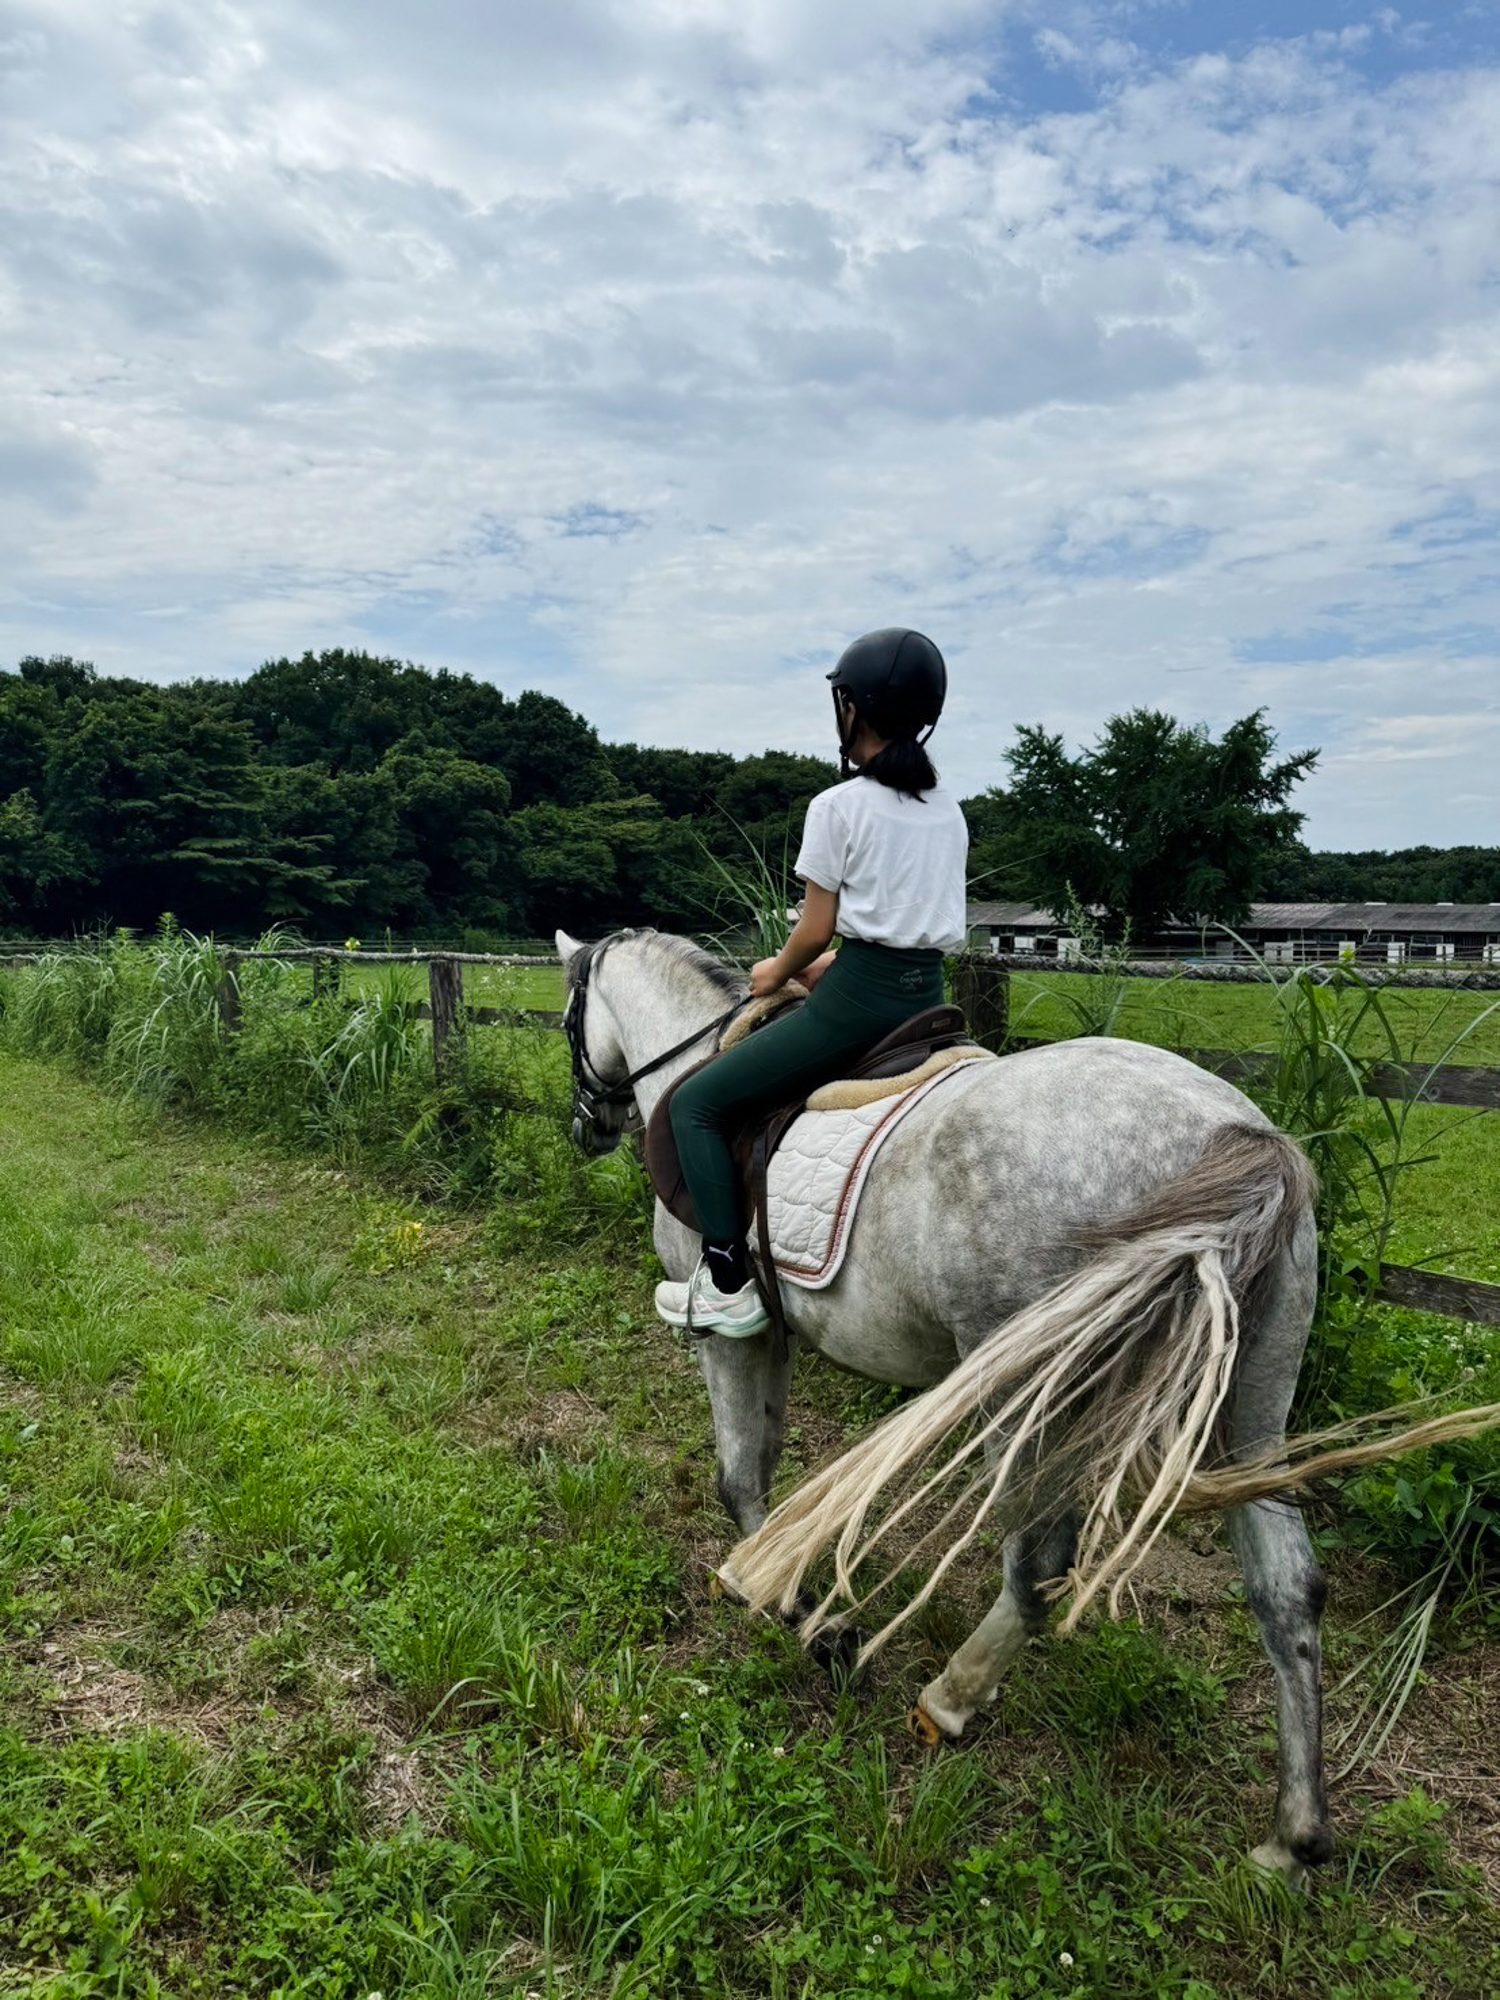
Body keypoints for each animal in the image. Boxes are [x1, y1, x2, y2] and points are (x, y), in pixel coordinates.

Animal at [560, 928, 1496, 1880]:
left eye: (569, 1017)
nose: (586, 1125)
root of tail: (1236, 1134)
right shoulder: (780, 1335)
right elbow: (766, 1460)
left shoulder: (729, 1332)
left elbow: (739, 1473)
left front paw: (795, 1610)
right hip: (1250, 1408)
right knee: (1288, 1586)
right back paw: (1293, 1836)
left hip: (1028, 1393)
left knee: (1039, 1565)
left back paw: (950, 1699)